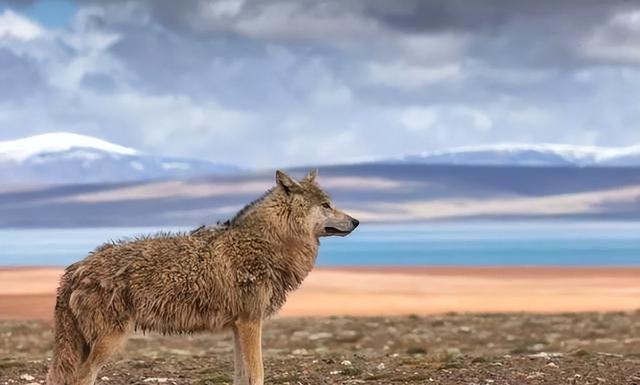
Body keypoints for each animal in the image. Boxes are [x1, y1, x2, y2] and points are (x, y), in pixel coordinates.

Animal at [47, 169, 358, 384]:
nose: (356, 221)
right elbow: (257, 374)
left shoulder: (239, 326)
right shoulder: (250, 323)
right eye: (327, 205)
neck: (265, 243)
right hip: (109, 342)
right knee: (81, 378)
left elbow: (241, 376)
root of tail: (74, 268)